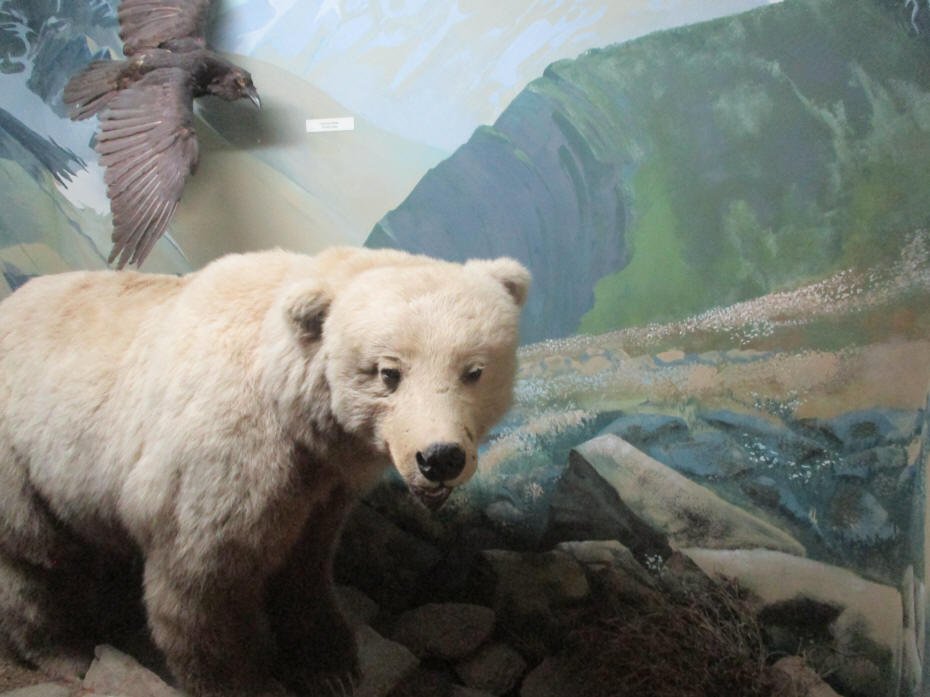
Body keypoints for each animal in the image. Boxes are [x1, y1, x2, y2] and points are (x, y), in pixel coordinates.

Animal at [0, 246, 529, 696]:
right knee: (36, 563)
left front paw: (329, 664)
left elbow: (305, 563)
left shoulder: (321, 484)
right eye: (388, 372)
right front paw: (239, 679)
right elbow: (202, 584)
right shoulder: (225, 463)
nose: (439, 458)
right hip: (22, 466)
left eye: (474, 370)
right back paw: (67, 652)